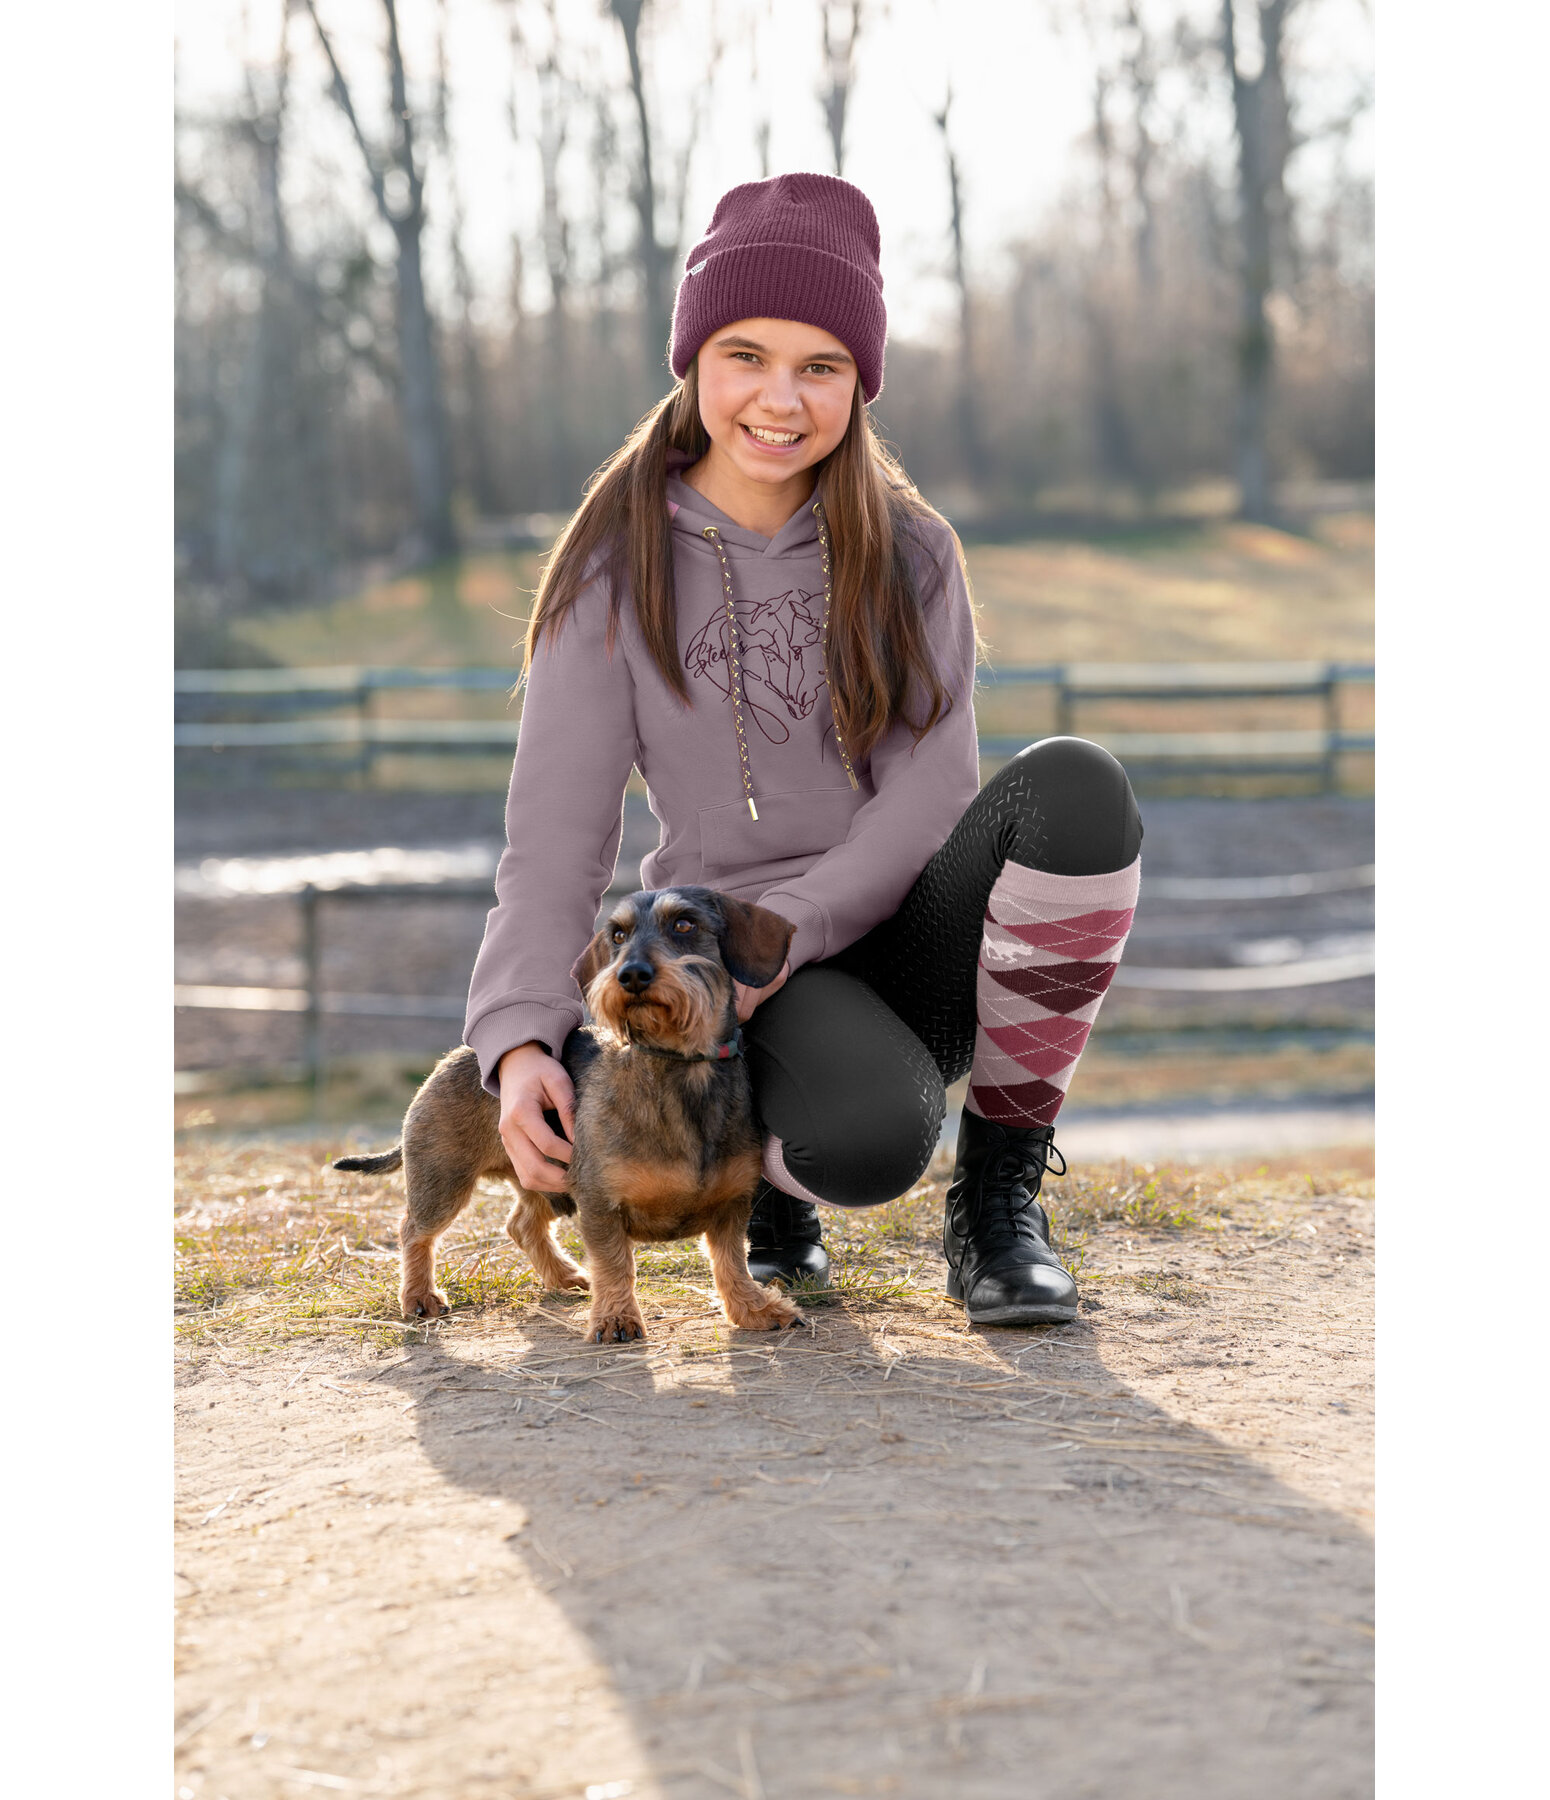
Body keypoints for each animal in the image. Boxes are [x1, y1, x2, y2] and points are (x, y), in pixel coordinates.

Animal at [333, 885, 802, 1339]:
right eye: (618, 935)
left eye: (684, 924)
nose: (631, 974)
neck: (680, 1069)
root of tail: (459, 1056)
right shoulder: (599, 1202)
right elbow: (615, 1264)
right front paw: (615, 1318)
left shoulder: (732, 1204)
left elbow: (731, 1262)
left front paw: (754, 1308)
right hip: (444, 1181)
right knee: (414, 1231)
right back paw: (419, 1297)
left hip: (541, 1176)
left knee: (521, 1224)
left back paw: (563, 1275)